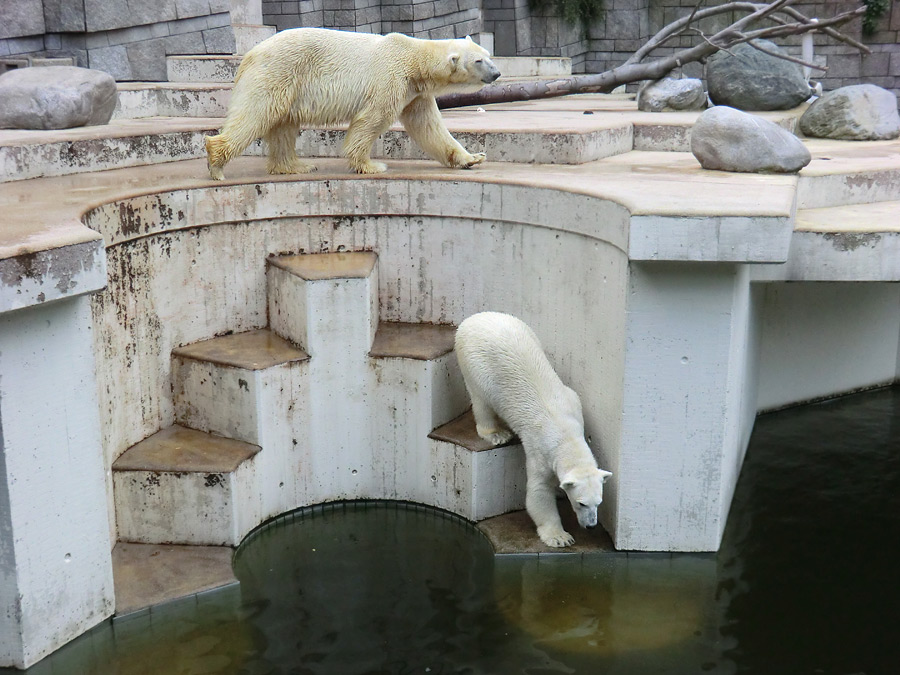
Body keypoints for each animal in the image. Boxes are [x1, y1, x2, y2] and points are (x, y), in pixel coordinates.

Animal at [204, 28, 500, 180]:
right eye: (478, 61)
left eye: (488, 54)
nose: (497, 73)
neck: (413, 58)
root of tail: (250, 55)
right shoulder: (391, 78)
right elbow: (372, 120)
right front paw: (370, 165)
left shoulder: (416, 93)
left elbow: (429, 127)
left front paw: (472, 158)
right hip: (278, 72)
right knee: (257, 114)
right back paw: (216, 163)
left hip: (288, 84)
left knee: (283, 125)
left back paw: (295, 166)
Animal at [458, 312, 612, 548]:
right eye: (581, 503)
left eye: (599, 502)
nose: (591, 526)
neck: (565, 433)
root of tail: (473, 318)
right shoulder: (540, 450)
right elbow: (538, 493)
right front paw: (560, 537)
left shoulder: (575, 404)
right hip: (475, 362)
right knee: (481, 400)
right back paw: (496, 433)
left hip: (524, 327)